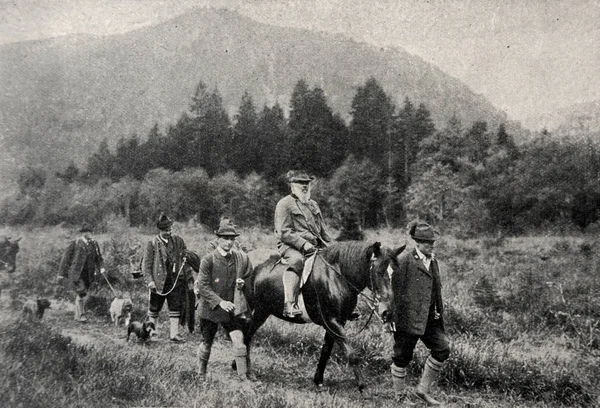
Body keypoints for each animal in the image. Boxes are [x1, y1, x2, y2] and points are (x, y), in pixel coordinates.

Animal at [243, 242, 404, 392]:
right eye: (378, 271)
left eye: (394, 273)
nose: (388, 311)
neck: (337, 276)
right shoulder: (331, 321)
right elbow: (351, 354)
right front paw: (362, 386)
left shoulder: (338, 322)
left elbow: (326, 350)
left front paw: (318, 380)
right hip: (259, 310)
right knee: (247, 336)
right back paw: (248, 373)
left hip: (263, 311)